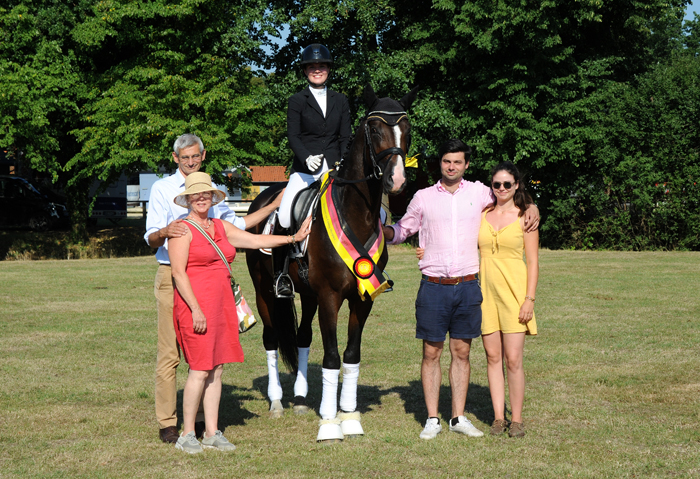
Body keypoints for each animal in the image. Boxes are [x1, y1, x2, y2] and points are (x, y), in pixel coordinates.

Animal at [247, 83, 416, 442]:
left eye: (406, 129)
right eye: (374, 128)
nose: (396, 181)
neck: (356, 213)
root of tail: (264, 196)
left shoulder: (362, 298)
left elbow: (350, 355)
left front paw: (349, 416)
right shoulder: (330, 296)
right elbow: (332, 356)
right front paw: (328, 421)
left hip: (307, 294)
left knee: (301, 338)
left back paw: (299, 399)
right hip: (264, 290)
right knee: (271, 338)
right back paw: (277, 402)